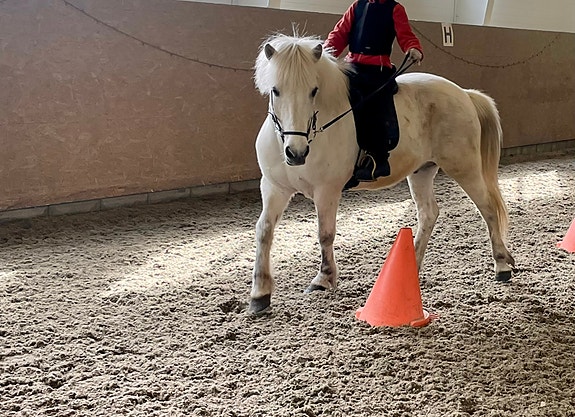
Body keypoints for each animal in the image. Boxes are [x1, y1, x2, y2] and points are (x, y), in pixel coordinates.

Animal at [250, 34, 515, 314]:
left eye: (314, 90)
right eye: (275, 90)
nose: (296, 153)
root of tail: (464, 94)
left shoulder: (326, 190)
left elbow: (325, 234)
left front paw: (323, 278)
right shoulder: (274, 188)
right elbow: (264, 231)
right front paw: (260, 294)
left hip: (464, 167)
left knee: (487, 208)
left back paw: (501, 265)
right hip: (421, 171)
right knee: (429, 213)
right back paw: (412, 265)